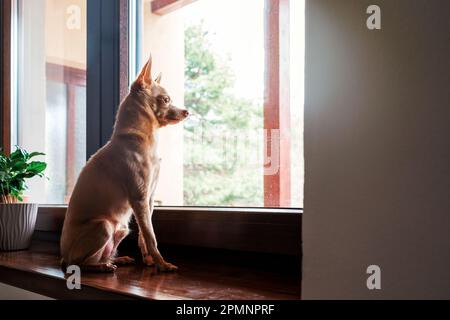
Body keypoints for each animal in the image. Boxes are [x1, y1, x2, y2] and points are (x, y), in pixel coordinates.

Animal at [59, 55, 188, 272]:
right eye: (166, 99)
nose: (187, 112)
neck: (146, 139)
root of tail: (63, 256)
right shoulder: (139, 198)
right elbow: (151, 236)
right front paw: (161, 263)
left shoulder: (148, 199)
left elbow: (144, 234)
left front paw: (150, 261)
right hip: (103, 226)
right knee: (77, 263)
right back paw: (101, 267)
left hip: (121, 229)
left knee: (97, 256)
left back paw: (114, 260)